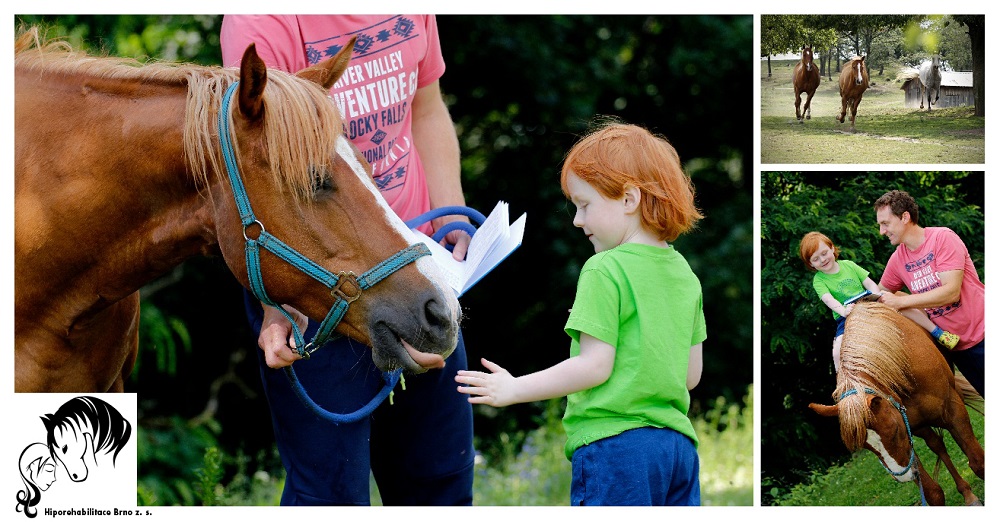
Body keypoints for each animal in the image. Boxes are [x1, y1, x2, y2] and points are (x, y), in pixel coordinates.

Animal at [804, 300, 984, 504]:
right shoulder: (908, 433)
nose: (903, 477)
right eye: (865, 446)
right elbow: (932, 492)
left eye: (895, 431)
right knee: (937, 445)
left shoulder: (952, 409)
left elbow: (978, 462)